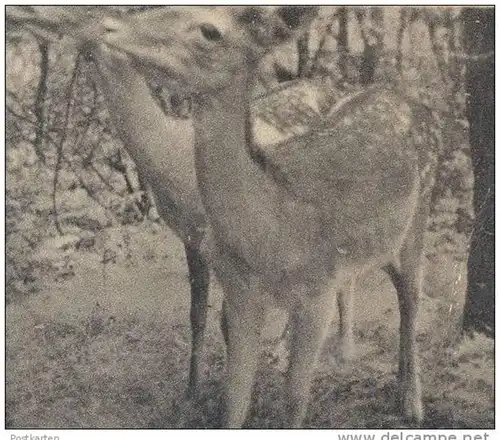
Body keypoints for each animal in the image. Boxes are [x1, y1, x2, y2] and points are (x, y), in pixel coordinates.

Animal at [4, 5, 356, 406]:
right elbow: (196, 314)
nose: (35, 19)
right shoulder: (188, 236)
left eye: (89, 32)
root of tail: (334, 85)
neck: (173, 157)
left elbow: (227, 318)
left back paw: (326, 351)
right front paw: (191, 390)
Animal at [95, 5, 444, 428]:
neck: (271, 230)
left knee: (412, 300)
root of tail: (416, 103)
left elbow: (294, 398)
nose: (109, 25)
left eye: (210, 30)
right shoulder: (240, 290)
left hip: (420, 212)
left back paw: (412, 402)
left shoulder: (318, 291)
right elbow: (233, 398)